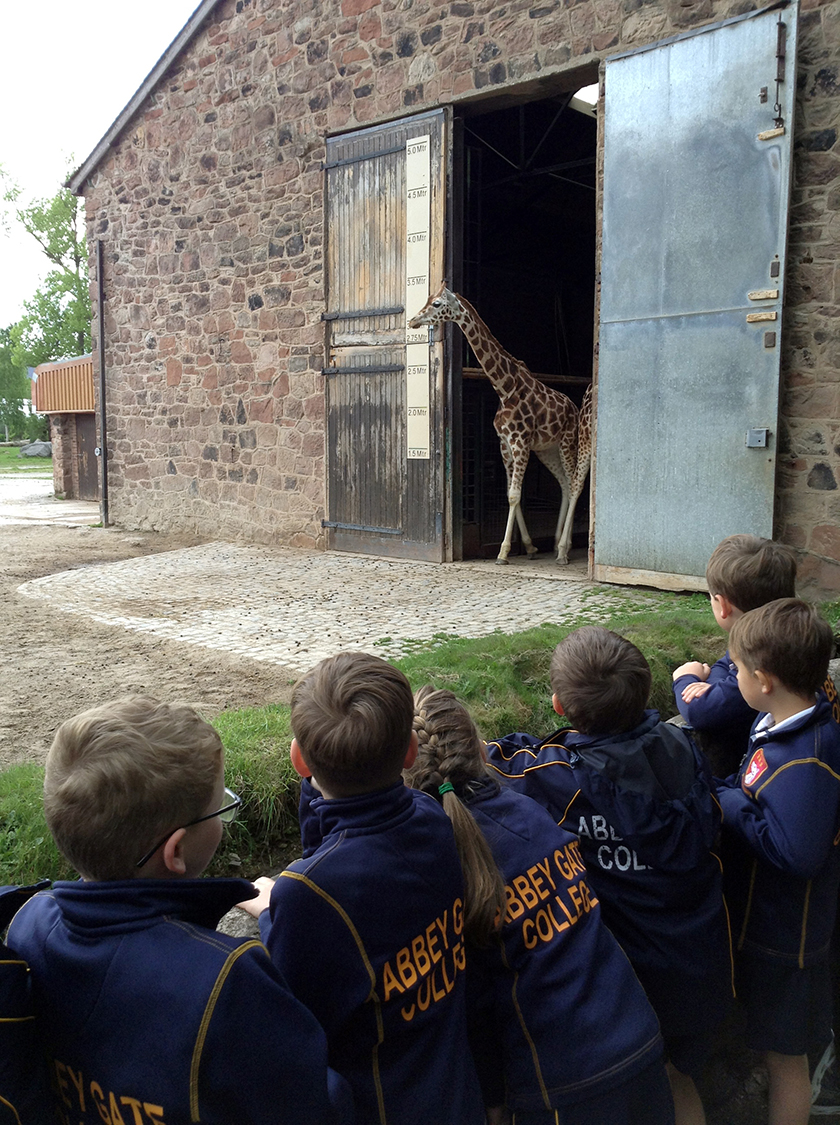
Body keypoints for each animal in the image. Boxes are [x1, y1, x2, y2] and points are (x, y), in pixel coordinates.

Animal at [411, 281, 589, 562]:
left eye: (437, 304)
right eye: (428, 299)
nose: (413, 320)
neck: (505, 388)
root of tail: (574, 407)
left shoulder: (521, 442)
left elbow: (515, 495)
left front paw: (503, 552)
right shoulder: (505, 444)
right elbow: (509, 494)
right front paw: (528, 546)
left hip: (567, 442)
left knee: (574, 484)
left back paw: (564, 550)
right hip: (547, 449)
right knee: (563, 482)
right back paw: (557, 542)